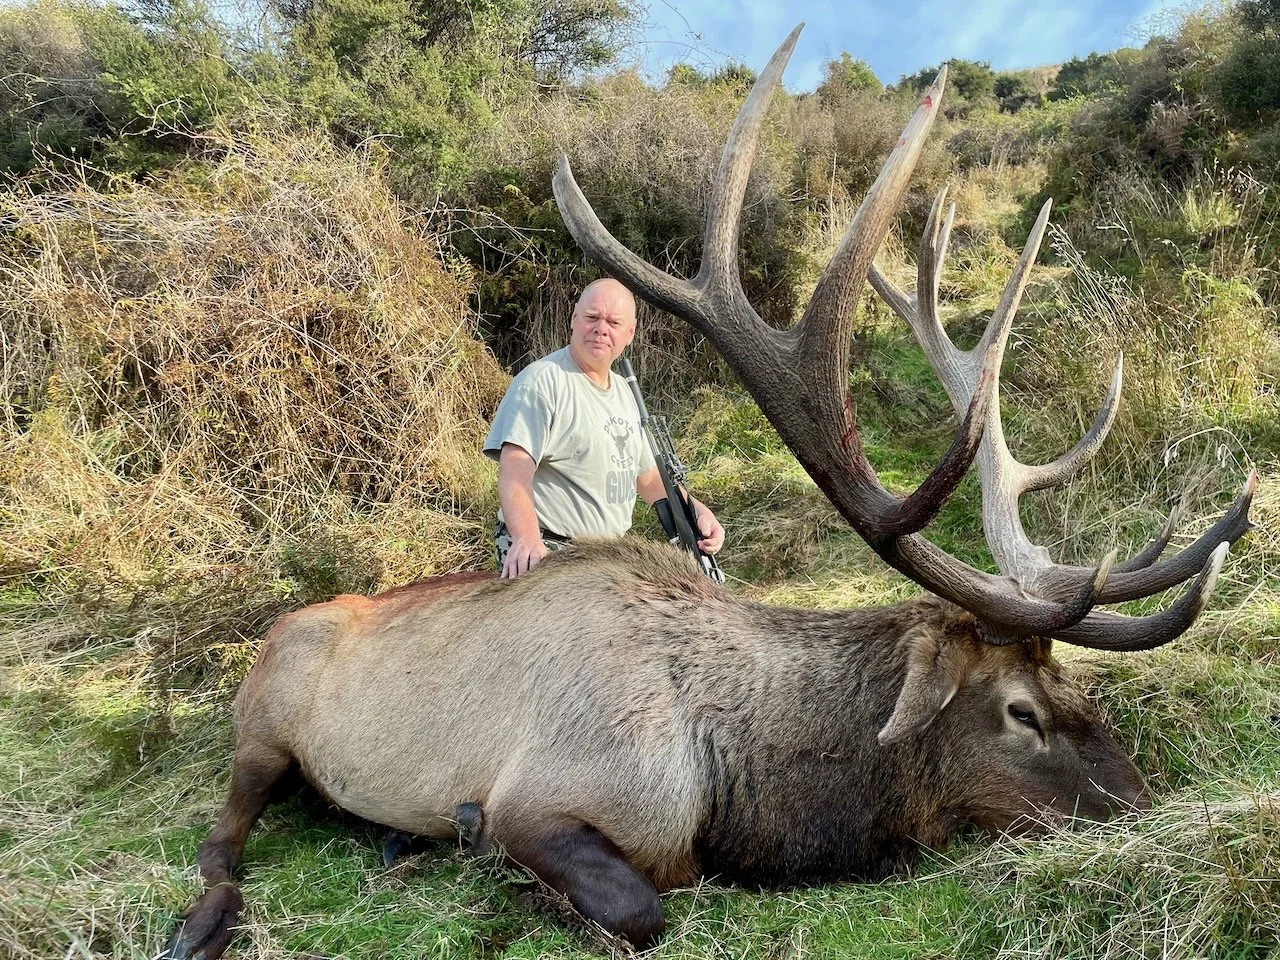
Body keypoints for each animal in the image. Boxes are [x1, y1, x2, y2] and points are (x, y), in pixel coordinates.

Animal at [162, 25, 1256, 959]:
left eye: (1078, 690)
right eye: (1021, 713)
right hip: (262, 723)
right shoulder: (542, 794)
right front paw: (501, 872)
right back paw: (207, 917)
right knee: (222, 838)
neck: (737, 785)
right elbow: (643, 904)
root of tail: (267, 635)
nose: (1141, 803)